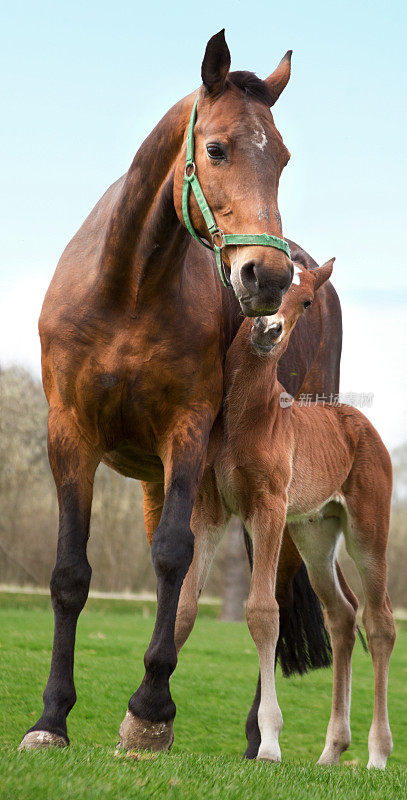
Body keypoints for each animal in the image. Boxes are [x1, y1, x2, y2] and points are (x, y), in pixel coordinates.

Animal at [178, 260, 396, 764]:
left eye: (308, 301)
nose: (269, 330)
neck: (246, 414)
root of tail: (363, 426)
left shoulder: (269, 508)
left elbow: (263, 612)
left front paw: (269, 743)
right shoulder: (210, 509)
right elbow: (183, 604)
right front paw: (137, 726)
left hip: (368, 530)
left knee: (380, 622)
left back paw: (377, 755)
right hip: (315, 534)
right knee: (342, 615)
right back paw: (331, 751)